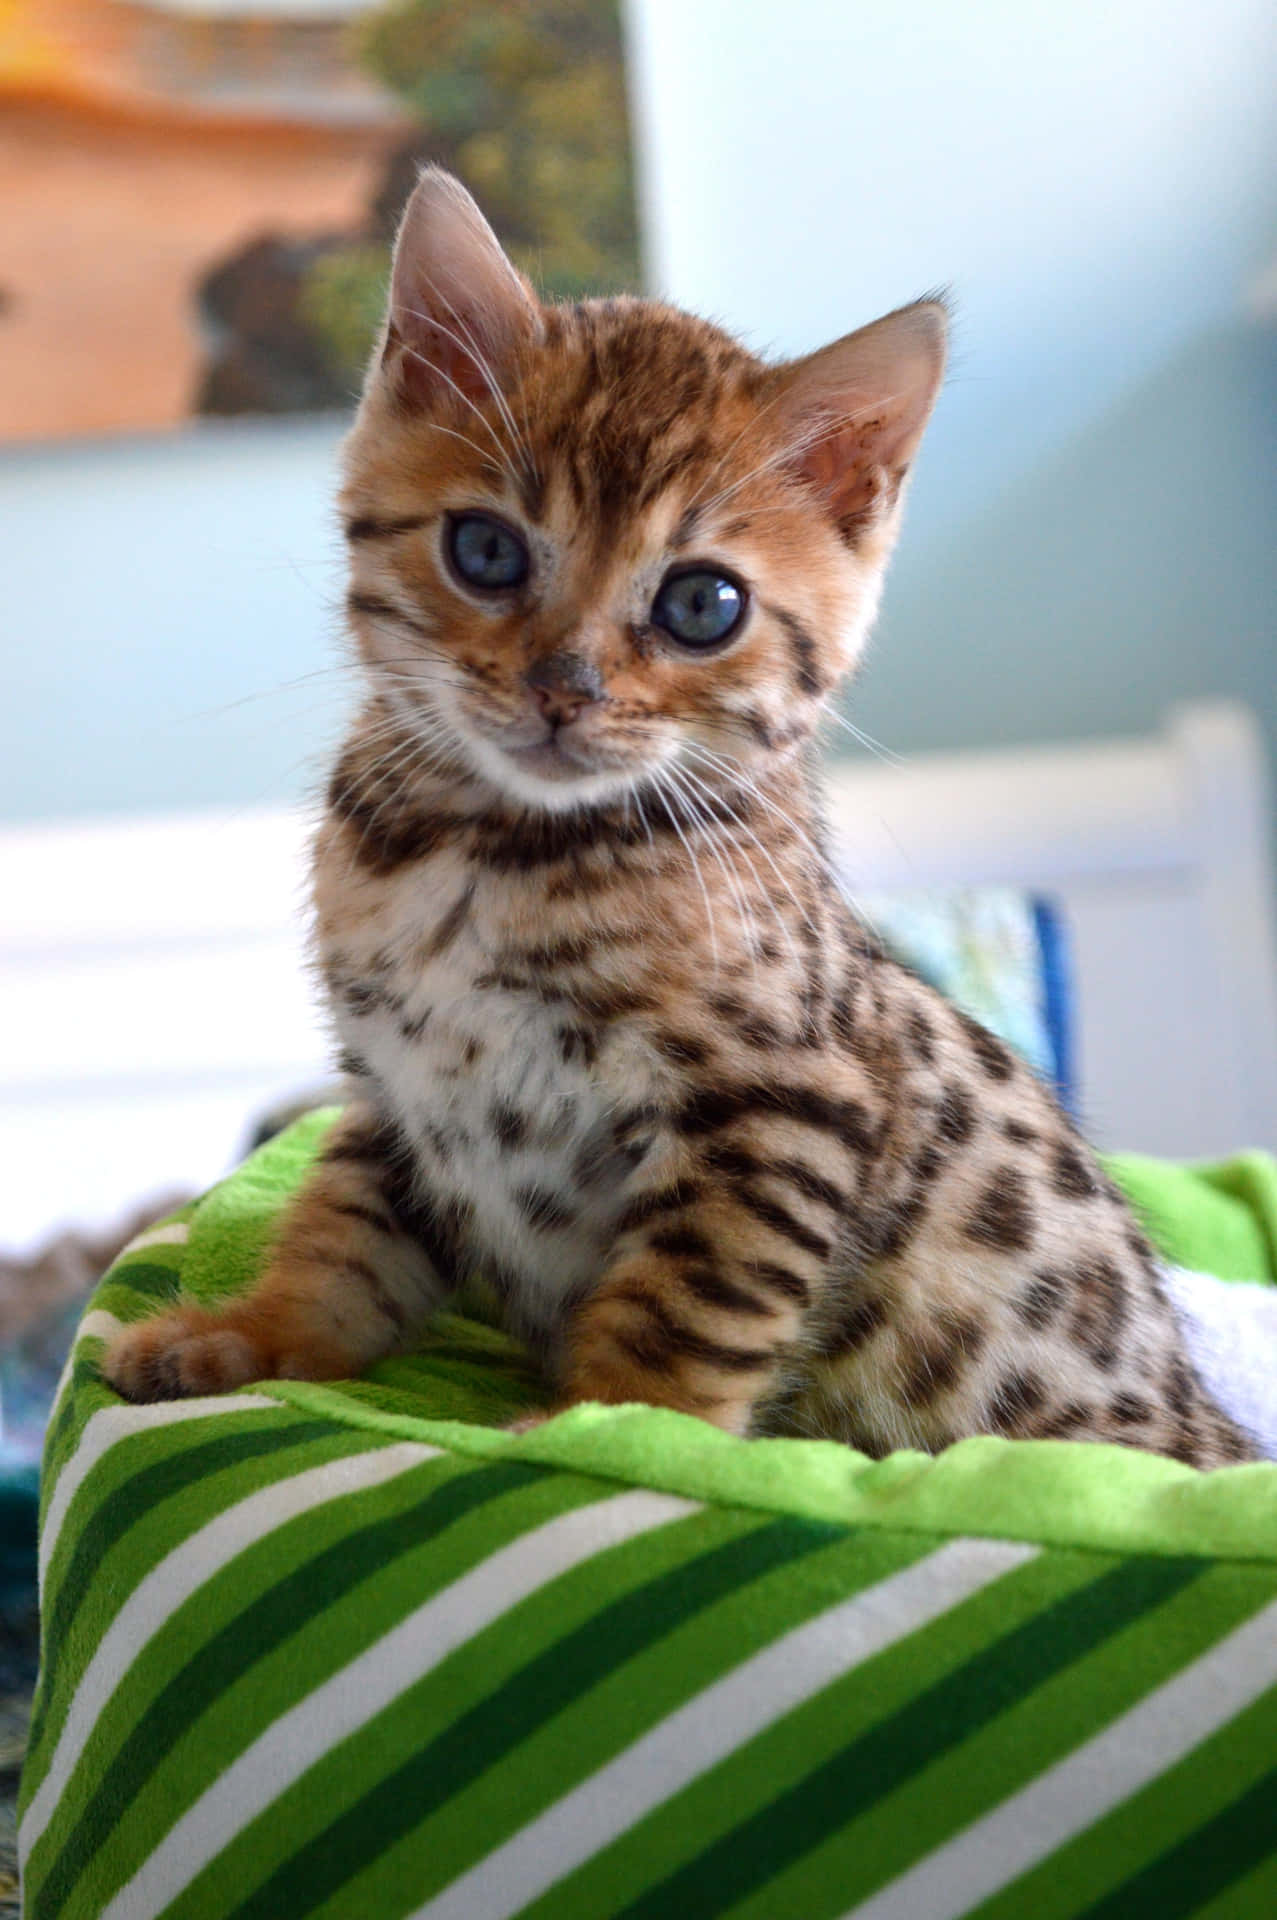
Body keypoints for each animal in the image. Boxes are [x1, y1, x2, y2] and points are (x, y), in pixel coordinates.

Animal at [102, 172, 1252, 1459]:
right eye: (484, 550)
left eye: (702, 605)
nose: (563, 688)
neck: (479, 852)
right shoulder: (395, 1100)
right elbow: (341, 1240)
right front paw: (248, 1340)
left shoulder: (781, 1108)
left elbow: (686, 1303)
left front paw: (602, 1431)